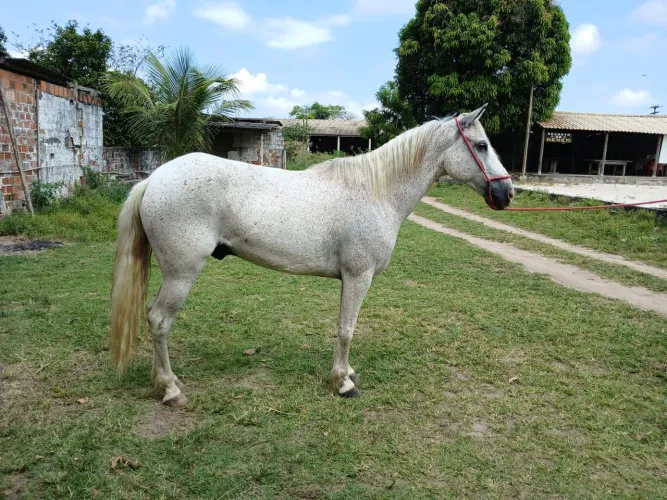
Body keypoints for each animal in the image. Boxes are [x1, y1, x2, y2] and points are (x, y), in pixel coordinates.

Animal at [110, 104, 513, 407]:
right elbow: (347, 330)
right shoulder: (358, 276)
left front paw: (346, 373)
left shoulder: (349, 279)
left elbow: (343, 327)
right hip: (182, 273)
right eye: (480, 145)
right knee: (159, 321)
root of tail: (154, 179)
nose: (507, 193)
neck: (377, 191)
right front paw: (343, 383)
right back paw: (170, 389)